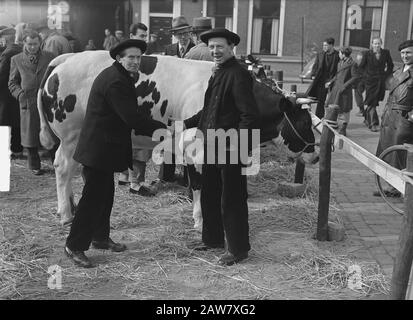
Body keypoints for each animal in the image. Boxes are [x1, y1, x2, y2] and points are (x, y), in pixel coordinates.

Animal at [37, 50, 318, 226]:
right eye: (304, 122)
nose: (315, 154)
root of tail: (66, 59)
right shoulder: (197, 148)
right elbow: (200, 184)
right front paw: (201, 220)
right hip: (71, 135)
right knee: (62, 167)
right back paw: (65, 213)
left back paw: (72, 205)